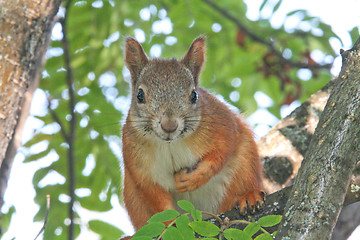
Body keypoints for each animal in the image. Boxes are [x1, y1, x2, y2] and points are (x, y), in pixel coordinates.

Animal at [121, 35, 264, 232]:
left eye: (194, 95)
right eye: (139, 95)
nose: (169, 126)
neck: (171, 143)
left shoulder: (222, 125)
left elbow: (222, 152)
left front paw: (194, 179)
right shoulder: (140, 167)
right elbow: (156, 198)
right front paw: (169, 226)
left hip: (244, 164)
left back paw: (248, 196)